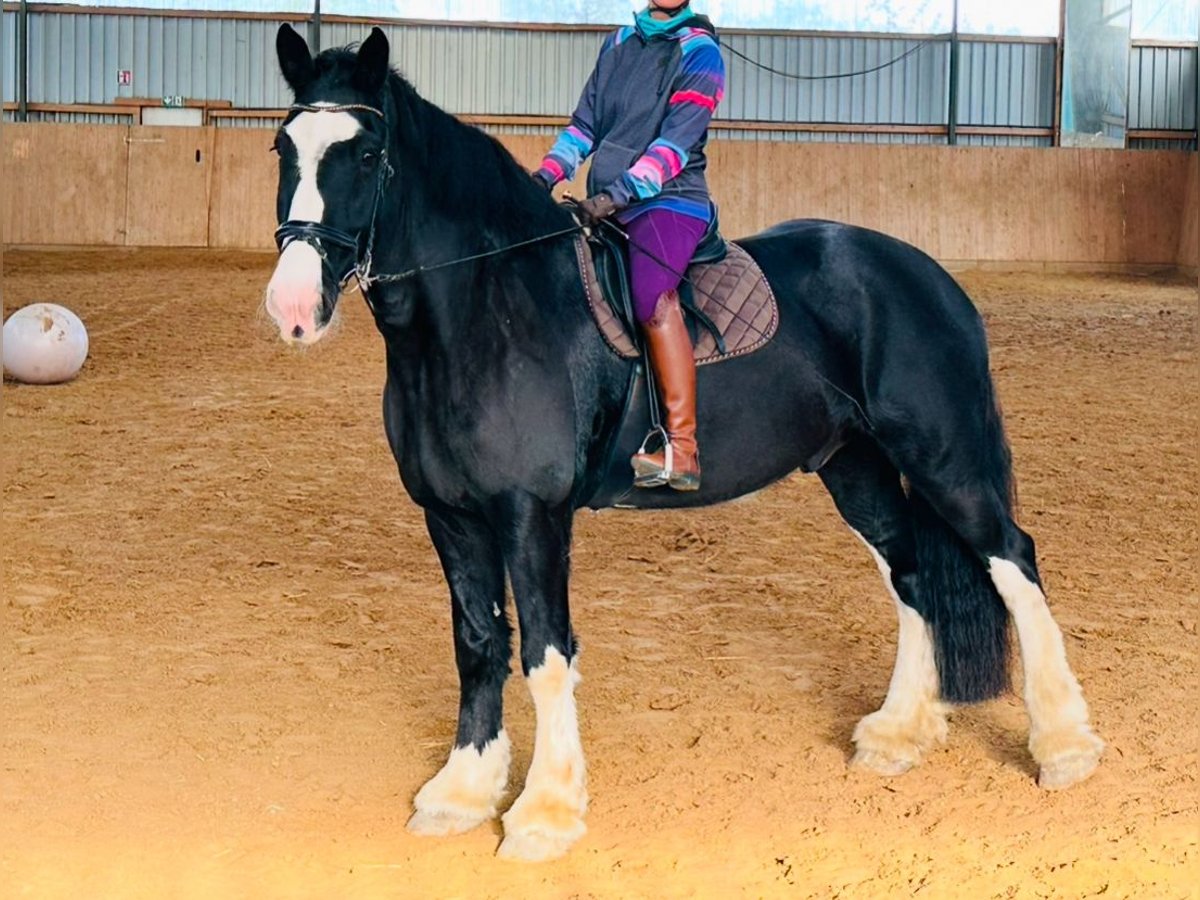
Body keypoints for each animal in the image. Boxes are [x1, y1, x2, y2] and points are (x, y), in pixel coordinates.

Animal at [267, 24, 1099, 864]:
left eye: (366, 153)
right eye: (283, 147)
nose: (293, 305)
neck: (487, 315)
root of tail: (926, 274)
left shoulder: (533, 515)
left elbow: (544, 654)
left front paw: (545, 813)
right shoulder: (451, 514)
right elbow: (477, 643)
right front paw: (462, 793)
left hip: (942, 458)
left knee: (1013, 559)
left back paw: (1063, 748)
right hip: (855, 467)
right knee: (912, 572)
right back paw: (899, 734)